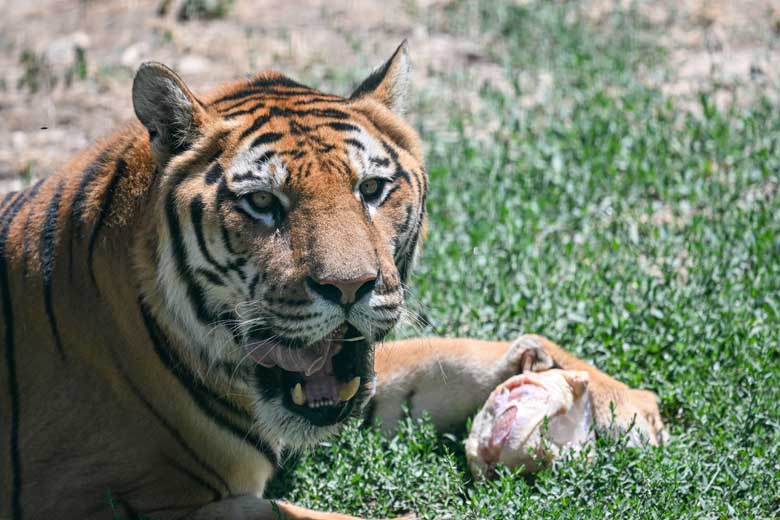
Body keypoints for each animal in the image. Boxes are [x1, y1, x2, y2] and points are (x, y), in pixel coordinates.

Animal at [0, 41, 664, 520]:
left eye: (371, 189)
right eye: (262, 203)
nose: (350, 287)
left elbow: (440, 357)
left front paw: (618, 401)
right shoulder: (103, 499)